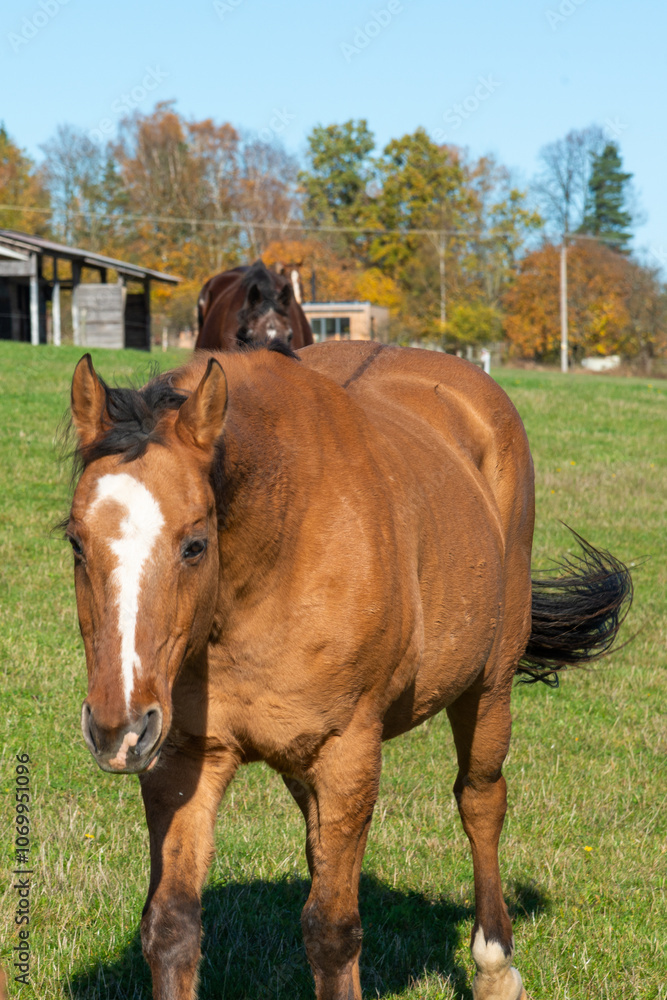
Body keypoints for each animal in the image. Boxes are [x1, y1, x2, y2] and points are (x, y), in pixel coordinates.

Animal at [64, 341, 631, 1000]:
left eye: (195, 544)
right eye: (76, 542)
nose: (117, 729)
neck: (272, 562)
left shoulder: (348, 752)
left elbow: (332, 932)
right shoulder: (181, 757)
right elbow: (173, 925)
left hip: (489, 685)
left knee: (480, 801)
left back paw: (495, 967)